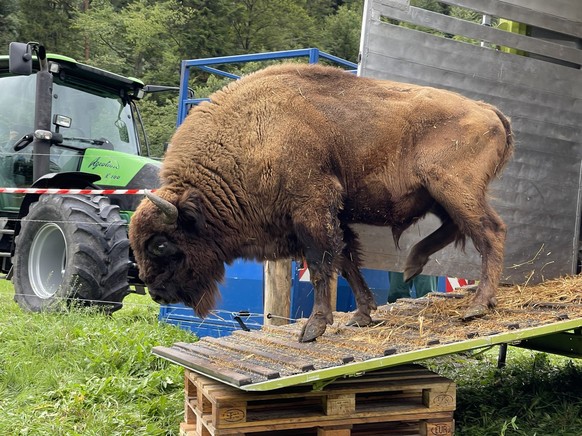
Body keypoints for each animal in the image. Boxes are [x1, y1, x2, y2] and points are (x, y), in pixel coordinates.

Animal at [129, 61, 516, 342]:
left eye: (161, 244)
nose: (158, 294)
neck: (252, 135)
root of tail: (488, 111)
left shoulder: (312, 208)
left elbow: (321, 266)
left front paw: (313, 328)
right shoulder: (333, 218)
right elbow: (346, 261)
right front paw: (361, 316)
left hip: (453, 188)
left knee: (489, 231)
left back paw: (478, 305)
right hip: (440, 196)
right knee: (459, 229)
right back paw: (412, 264)